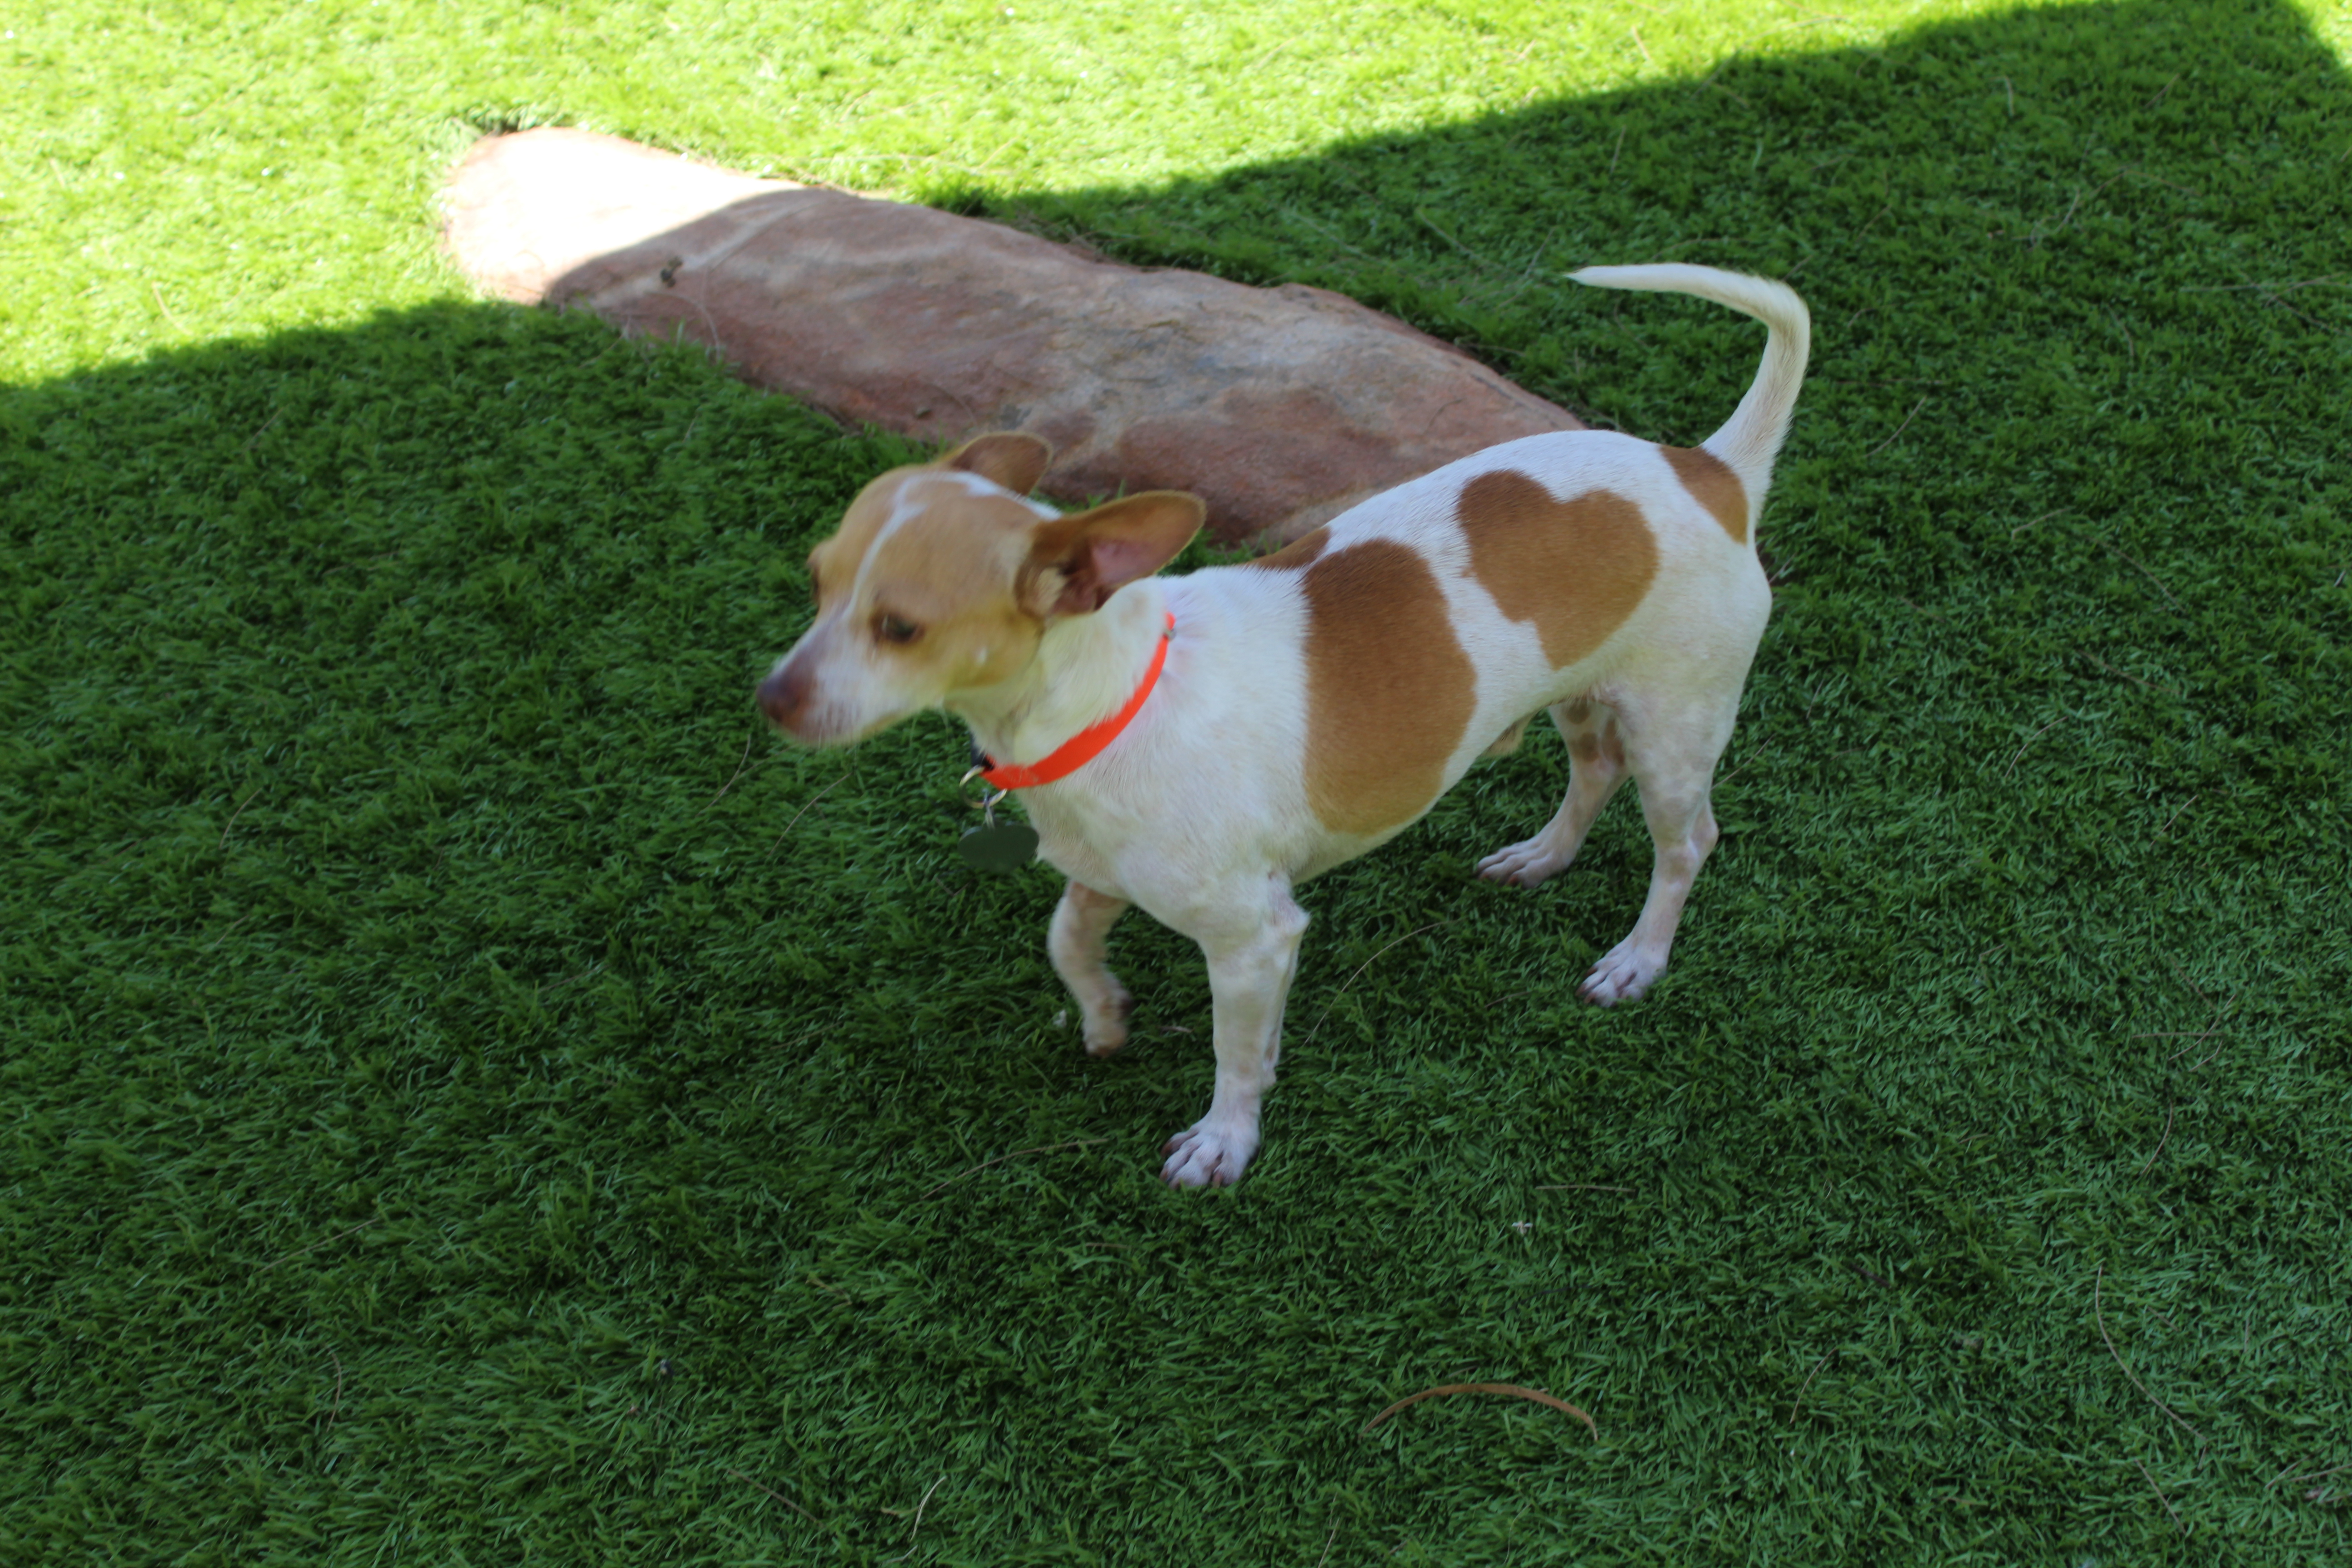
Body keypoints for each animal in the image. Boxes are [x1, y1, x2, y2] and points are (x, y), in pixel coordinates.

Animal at [762, 261, 1806, 1189]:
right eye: (815, 580)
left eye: (901, 628)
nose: (772, 696)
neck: (1113, 702)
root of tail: (1710, 470)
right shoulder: (1106, 876)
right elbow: (1065, 940)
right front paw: (1105, 1016)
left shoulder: (1252, 936)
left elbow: (1233, 1053)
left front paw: (1224, 1141)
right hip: (1582, 695)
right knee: (1592, 773)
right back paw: (1540, 857)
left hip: (1677, 727)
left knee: (1686, 843)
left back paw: (1637, 960)